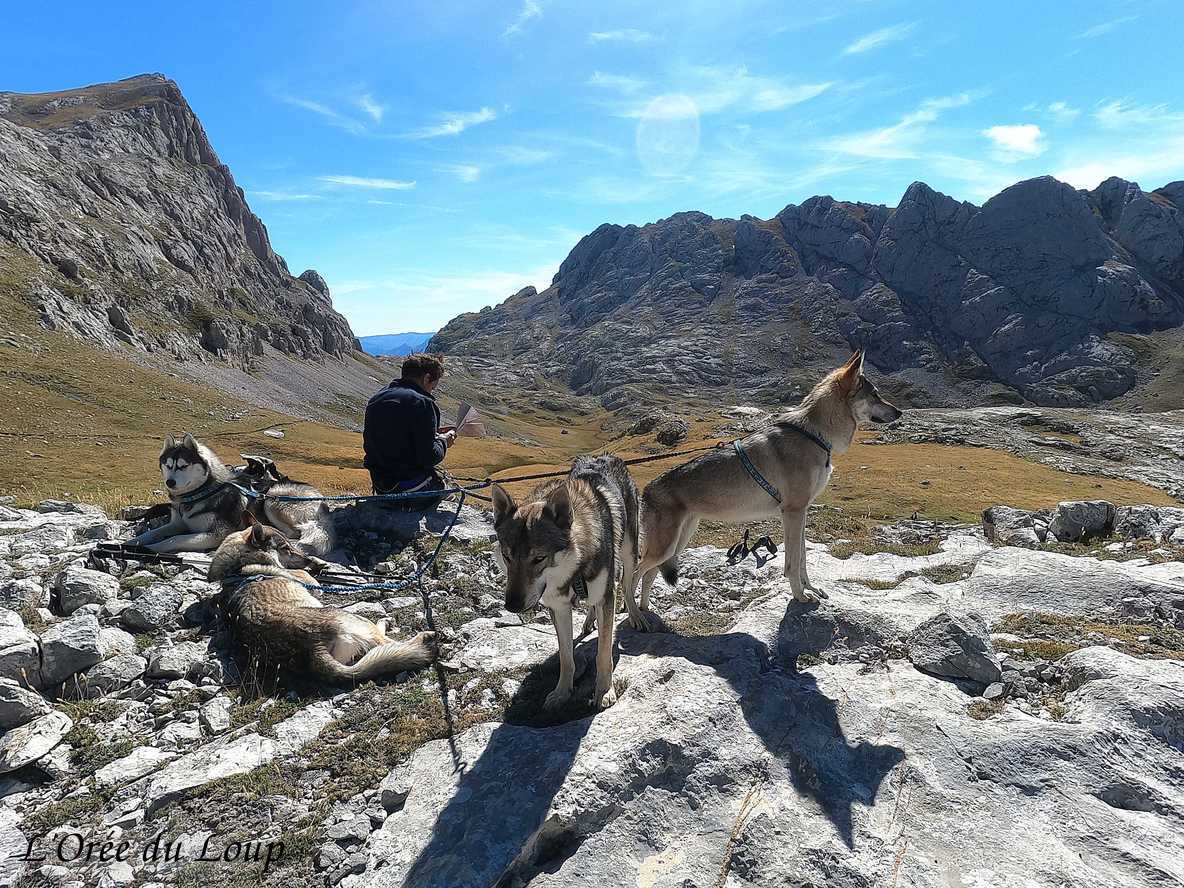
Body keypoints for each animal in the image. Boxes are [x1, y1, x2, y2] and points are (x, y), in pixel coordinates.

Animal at [207, 525, 435, 686]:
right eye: (286, 549)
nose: (310, 559)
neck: (238, 567)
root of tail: (313, 650)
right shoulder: (310, 582)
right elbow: (309, 578)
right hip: (355, 620)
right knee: (390, 643)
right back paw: (417, 634)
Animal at [490, 454, 639, 715]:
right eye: (507, 556)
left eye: (539, 558)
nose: (512, 606)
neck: (573, 570)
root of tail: (608, 455)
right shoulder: (558, 607)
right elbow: (566, 658)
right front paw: (561, 693)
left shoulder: (606, 596)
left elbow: (603, 653)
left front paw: (604, 692)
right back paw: (589, 623)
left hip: (629, 554)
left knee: (628, 587)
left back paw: (636, 617)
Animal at [629, 350, 895, 625]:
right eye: (875, 394)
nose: (898, 413)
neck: (814, 435)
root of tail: (646, 490)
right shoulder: (792, 512)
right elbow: (792, 564)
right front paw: (800, 597)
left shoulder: (802, 513)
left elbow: (803, 560)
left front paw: (810, 589)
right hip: (666, 548)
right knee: (631, 575)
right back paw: (635, 617)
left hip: (677, 543)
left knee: (648, 575)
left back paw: (647, 612)